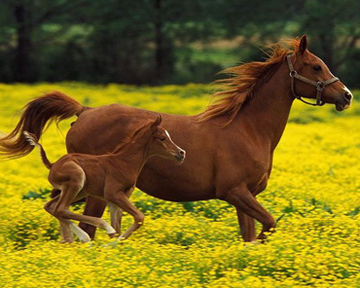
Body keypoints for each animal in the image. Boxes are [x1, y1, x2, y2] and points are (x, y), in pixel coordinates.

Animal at [22, 116, 186, 242]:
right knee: (61, 208)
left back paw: (79, 238)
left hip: (79, 191)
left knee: (52, 207)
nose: (181, 153)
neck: (124, 162)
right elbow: (139, 217)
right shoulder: (112, 194)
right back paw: (95, 232)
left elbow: (119, 225)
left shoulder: (116, 198)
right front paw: (114, 241)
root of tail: (53, 164)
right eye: (162, 138)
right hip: (77, 179)